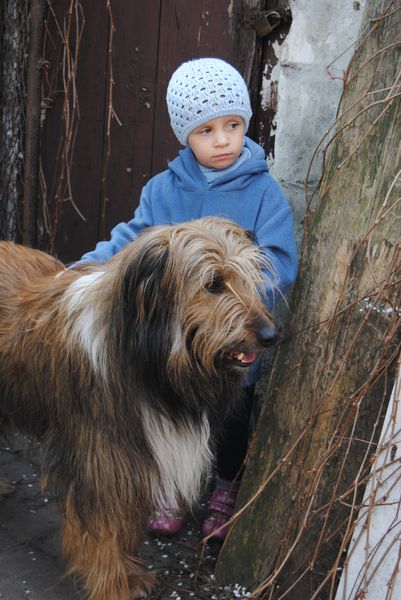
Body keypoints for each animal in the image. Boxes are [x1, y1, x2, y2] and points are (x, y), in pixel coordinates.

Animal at [0, 218, 276, 596]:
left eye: (251, 276)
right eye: (213, 283)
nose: (270, 335)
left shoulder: (137, 456)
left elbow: (126, 525)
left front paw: (131, 574)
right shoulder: (102, 459)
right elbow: (103, 531)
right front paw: (113, 585)